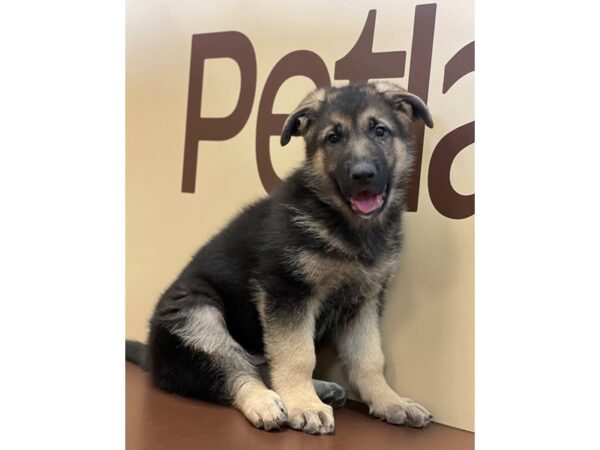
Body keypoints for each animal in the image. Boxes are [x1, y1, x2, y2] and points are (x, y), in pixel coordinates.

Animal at [127, 82, 432, 434]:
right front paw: (303, 404)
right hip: (196, 313)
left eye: (380, 131)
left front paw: (389, 401)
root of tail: (150, 357)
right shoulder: (286, 292)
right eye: (333, 138)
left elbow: (369, 359)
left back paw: (318, 389)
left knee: (258, 365)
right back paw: (267, 402)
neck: (343, 222)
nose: (363, 174)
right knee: (232, 368)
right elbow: (298, 354)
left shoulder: (363, 303)